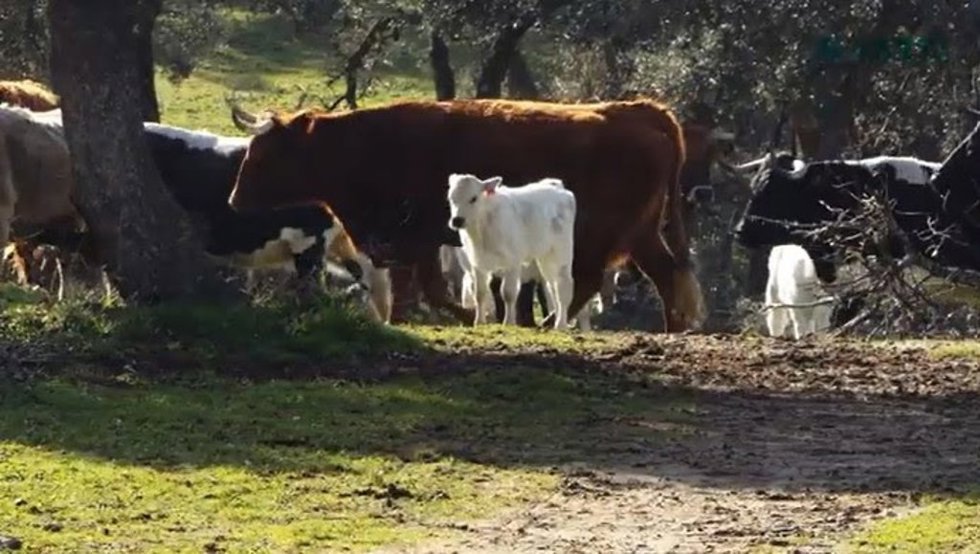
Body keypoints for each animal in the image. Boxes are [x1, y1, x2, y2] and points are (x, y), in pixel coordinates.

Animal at [447, 174, 576, 328]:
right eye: (451, 198)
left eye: (473, 198)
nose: (457, 220)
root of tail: (556, 186)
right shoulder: (477, 263)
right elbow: (480, 293)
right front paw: (479, 322)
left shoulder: (513, 262)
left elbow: (508, 293)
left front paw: (508, 322)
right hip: (544, 258)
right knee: (552, 287)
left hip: (561, 252)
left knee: (563, 286)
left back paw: (560, 325)